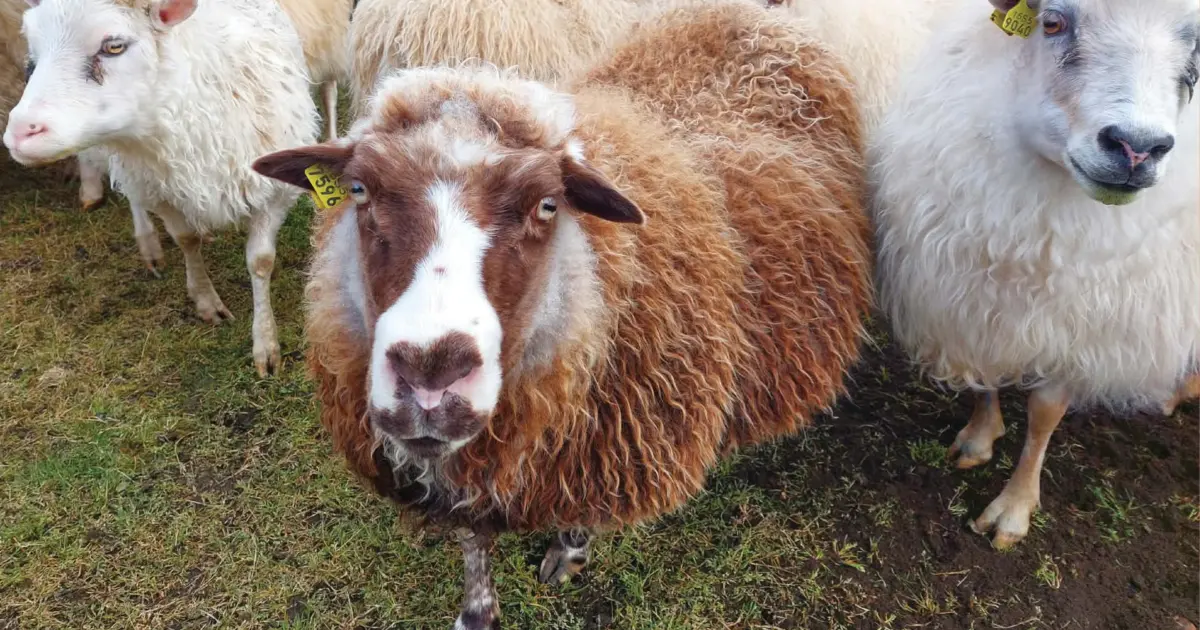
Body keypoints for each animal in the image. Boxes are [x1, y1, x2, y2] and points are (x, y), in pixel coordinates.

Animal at [3, 0, 319, 377]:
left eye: (114, 46)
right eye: (32, 54)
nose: (19, 133)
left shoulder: (273, 192)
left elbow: (260, 261)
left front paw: (266, 344)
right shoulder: (162, 192)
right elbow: (186, 240)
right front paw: (206, 300)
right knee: (135, 201)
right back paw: (149, 244)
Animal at [870, 0, 1200, 550]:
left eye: (1195, 52)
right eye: (1053, 22)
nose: (1137, 148)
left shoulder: (1076, 321)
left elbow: (1045, 413)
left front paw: (1014, 507)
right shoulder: (966, 292)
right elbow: (982, 380)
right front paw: (979, 438)